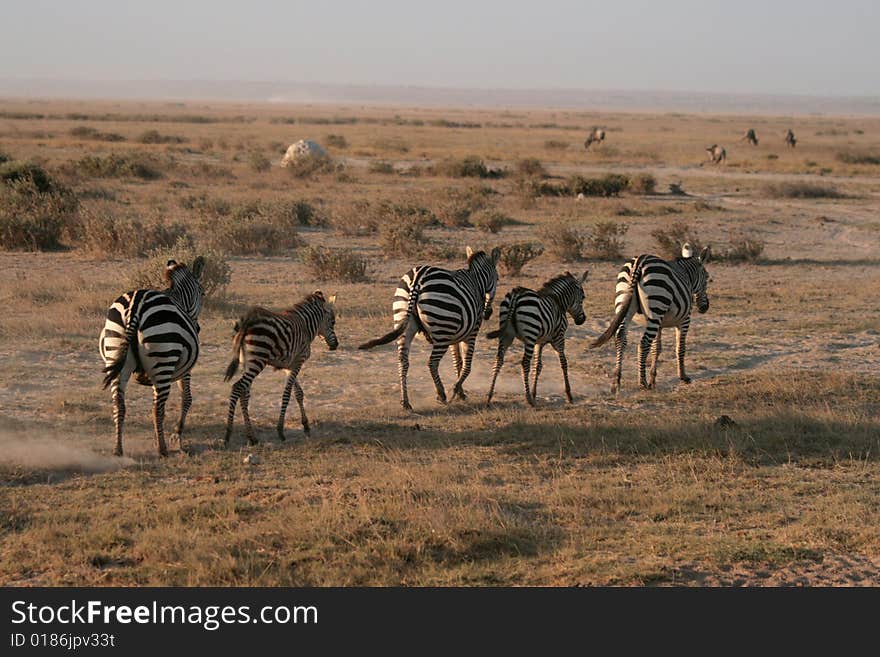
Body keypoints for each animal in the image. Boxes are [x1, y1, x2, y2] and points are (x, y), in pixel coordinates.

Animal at [99, 256, 205, 456]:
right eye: (202, 293)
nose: (198, 328)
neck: (178, 298)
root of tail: (136, 305)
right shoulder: (183, 368)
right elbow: (186, 398)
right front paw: (176, 434)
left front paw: (161, 436)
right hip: (163, 359)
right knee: (157, 409)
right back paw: (162, 450)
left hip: (117, 353)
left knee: (119, 404)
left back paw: (118, 449)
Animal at [223, 290, 336, 444]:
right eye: (333, 322)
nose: (336, 345)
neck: (306, 326)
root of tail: (248, 320)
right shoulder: (299, 361)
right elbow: (287, 393)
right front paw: (281, 430)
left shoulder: (289, 365)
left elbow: (298, 393)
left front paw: (306, 426)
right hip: (258, 359)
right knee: (237, 388)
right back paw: (228, 434)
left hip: (247, 361)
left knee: (244, 393)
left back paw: (252, 437)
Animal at [356, 246, 496, 410]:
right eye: (497, 279)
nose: (488, 313)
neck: (476, 281)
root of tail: (417, 278)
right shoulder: (471, 333)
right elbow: (467, 365)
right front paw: (456, 390)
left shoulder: (455, 335)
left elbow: (458, 363)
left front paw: (460, 392)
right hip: (442, 331)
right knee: (432, 363)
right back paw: (441, 395)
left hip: (405, 320)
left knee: (403, 361)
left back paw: (405, 401)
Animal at [484, 270, 588, 404]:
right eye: (583, 297)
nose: (582, 320)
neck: (558, 302)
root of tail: (516, 295)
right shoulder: (559, 338)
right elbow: (563, 363)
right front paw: (569, 395)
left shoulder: (539, 342)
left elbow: (537, 366)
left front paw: (534, 393)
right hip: (530, 334)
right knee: (524, 363)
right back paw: (528, 398)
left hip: (506, 335)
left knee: (499, 360)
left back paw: (490, 396)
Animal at [588, 243, 712, 392]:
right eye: (707, 279)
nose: (705, 307)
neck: (687, 275)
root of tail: (639, 262)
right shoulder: (684, 320)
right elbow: (680, 348)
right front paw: (683, 376)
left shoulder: (660, 323)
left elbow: (656, 349)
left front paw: (653, 379)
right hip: (656, 303)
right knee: (643, 343)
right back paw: (642, 382)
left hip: (626, 302)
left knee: (621, 337)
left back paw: (616, 381)